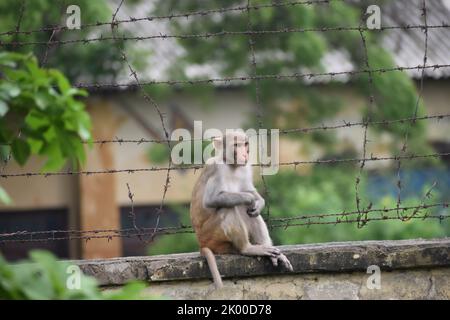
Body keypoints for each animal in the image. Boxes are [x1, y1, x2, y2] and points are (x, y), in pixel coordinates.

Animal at [189, 129, 292, 288]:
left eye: (246, 144)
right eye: (237, 145)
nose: (244, 154)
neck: (231, 165)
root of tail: (202, 244)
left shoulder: (246, 168)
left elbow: (250, 191)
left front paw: (259, 202)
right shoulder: (216, 168)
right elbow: (212, 200)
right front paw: (249, 198)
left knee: (249, 213)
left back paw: (271, 251)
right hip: (211, 235)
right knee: (228, 208)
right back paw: (247, 248)